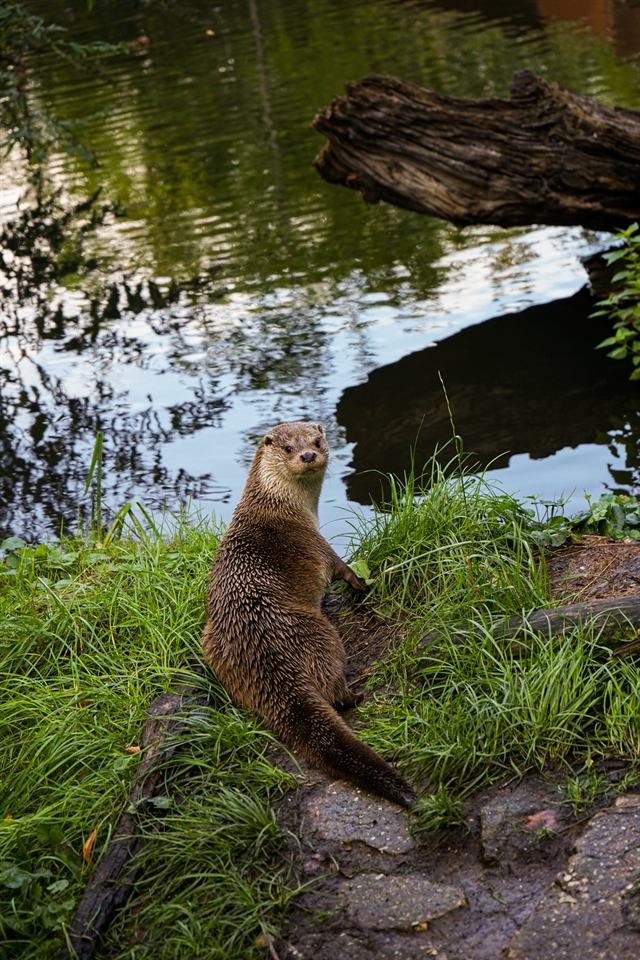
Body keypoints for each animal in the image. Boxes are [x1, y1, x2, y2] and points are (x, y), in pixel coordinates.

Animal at [202, 421, 415, 808]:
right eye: (288, 448)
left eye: (317, 440)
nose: (308, 455)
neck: (279, 506)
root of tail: (264, 654)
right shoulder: (318, 543)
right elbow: (343, 569)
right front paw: (364, 584)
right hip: (319, 633)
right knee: (334, 691)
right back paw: (355, 691)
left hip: (214, 647)